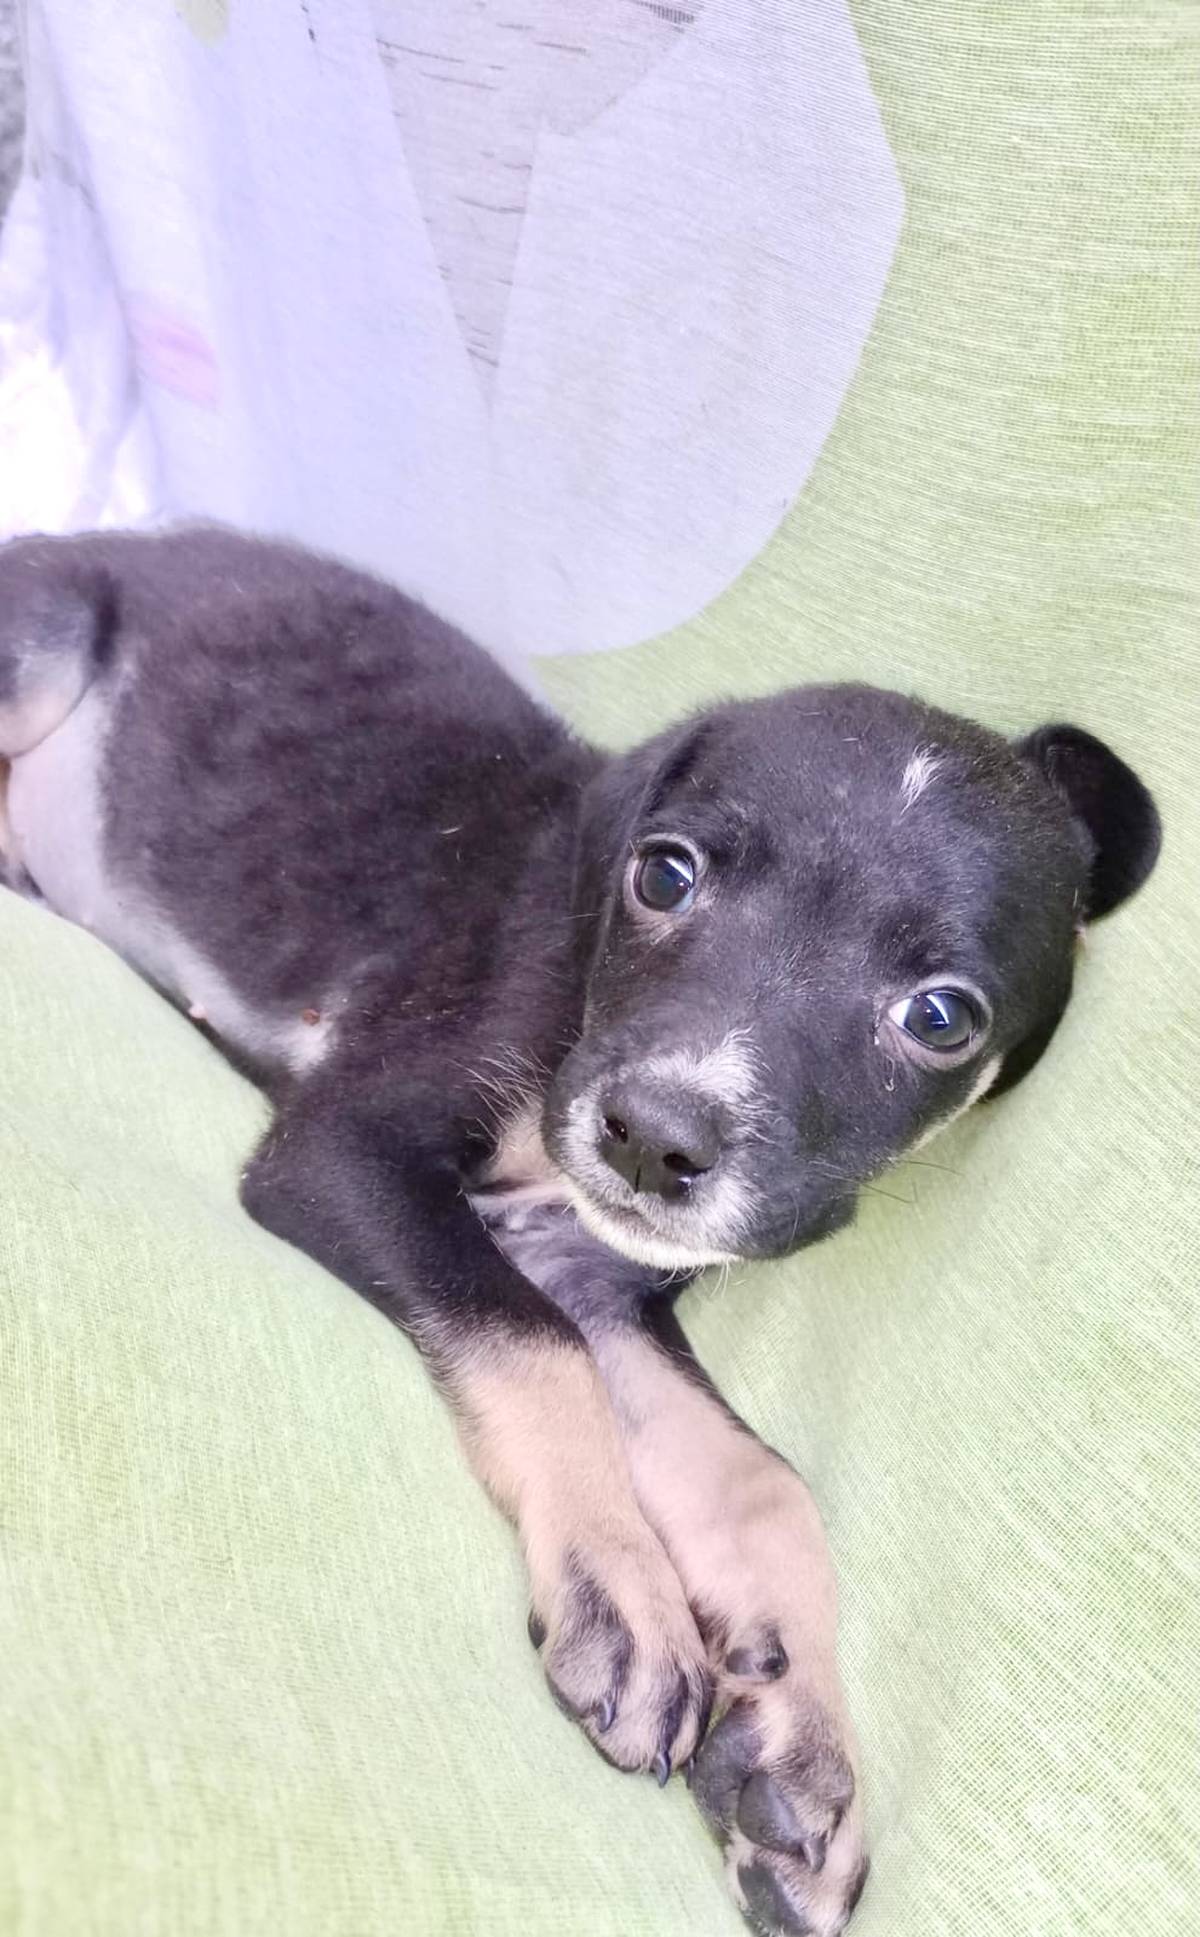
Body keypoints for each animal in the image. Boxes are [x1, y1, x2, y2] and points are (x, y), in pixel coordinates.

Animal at [0, 525, 1161, 1936]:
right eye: (665, 873)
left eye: (940, 1016)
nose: (652, 1138)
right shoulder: (347, 1153)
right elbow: (530, 1343)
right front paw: (628, 1590)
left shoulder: (600, 1274)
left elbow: (761, 1482)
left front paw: (795, 1746)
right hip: (43, 638)